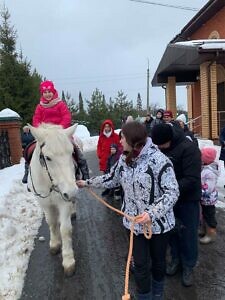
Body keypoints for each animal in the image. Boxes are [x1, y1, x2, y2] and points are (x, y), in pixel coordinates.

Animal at [28, 122, 79, 276]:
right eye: (48, 158)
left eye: (71, 153)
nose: (72, 192)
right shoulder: (45, 203)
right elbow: (51, 222)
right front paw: (55, 243)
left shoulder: (63, 201)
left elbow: (65, 229)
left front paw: (68, 260)